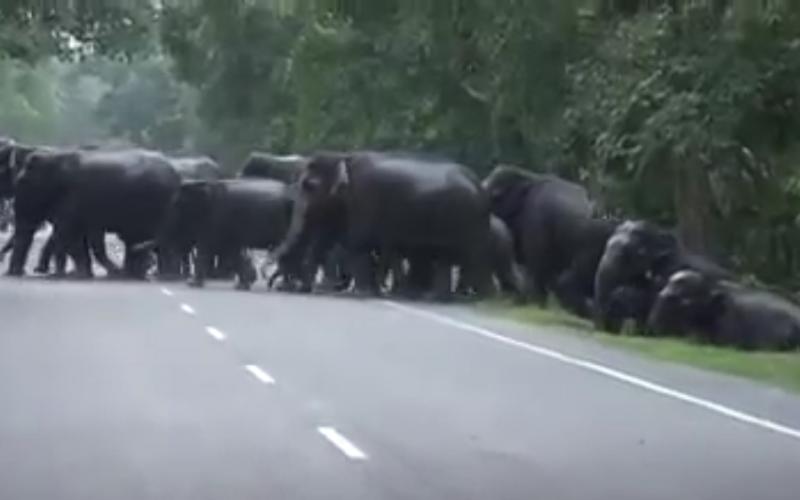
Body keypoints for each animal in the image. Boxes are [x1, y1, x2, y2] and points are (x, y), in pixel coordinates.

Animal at [9, 148, 179, 282]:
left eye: (23, 182)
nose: (15, 273)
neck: (54, 157)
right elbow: (81, 238)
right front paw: (85, 274)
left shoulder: (73, 199)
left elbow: (69, 234)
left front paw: (78, 275)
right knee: (139, 239)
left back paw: (159, 276)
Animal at [276, 152, 494, 298]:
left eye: (309, 186)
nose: (288, 288)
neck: (343, 157)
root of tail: (480, 187)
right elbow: (326, 240)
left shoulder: (365, 200)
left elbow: (358, 242)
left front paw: (362, 293)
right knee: (448, 258)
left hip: (466, 220)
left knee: (473, 258)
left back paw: (477, 299)